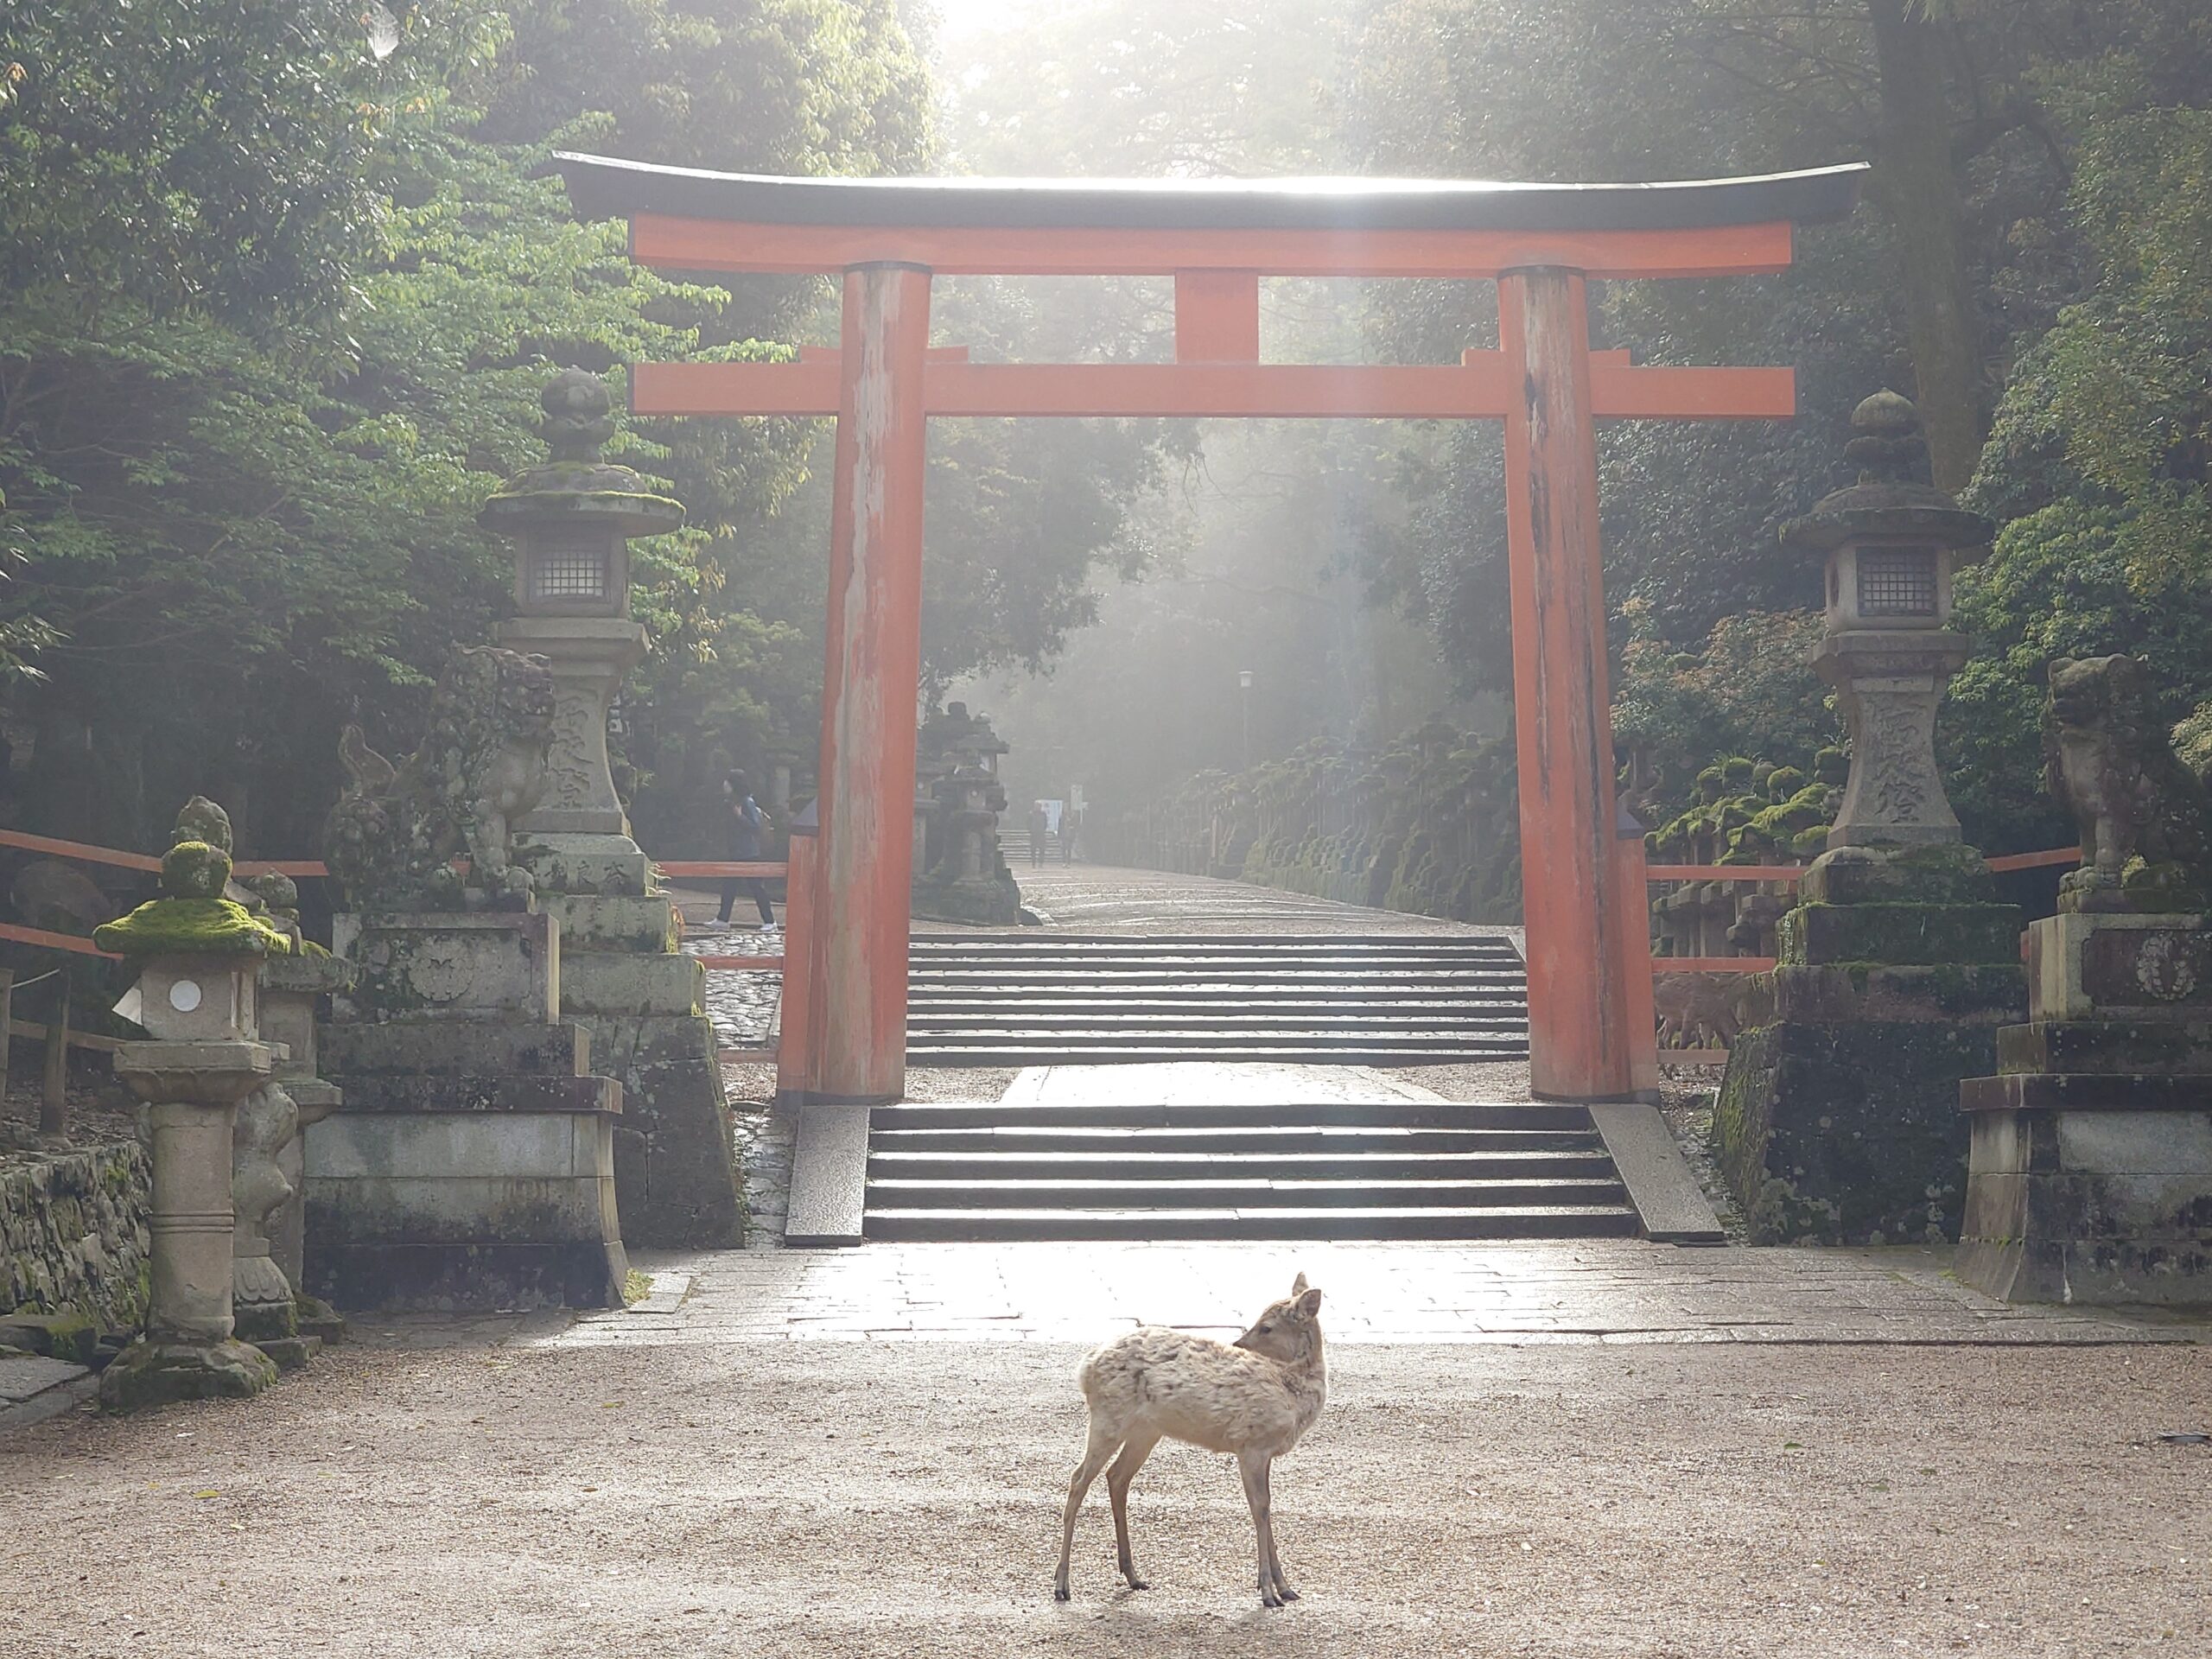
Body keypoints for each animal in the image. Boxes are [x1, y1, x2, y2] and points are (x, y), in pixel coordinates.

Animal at [1054, 1274, 1327, 1608]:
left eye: (1267, 1327)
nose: (1237, 1344)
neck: (1290, 1390)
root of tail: (1086, 1367)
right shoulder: (1250, 1444)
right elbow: (1260, 1508)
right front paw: (1267, 1591)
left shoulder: (1265, 1452)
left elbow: (1267, 1505)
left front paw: (1285, 1588)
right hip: (1109, 1416)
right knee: (1079, 1479)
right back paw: (1062, 1584)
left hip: (1146, 1430)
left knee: (1116, 1477)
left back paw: (1133, 1575)